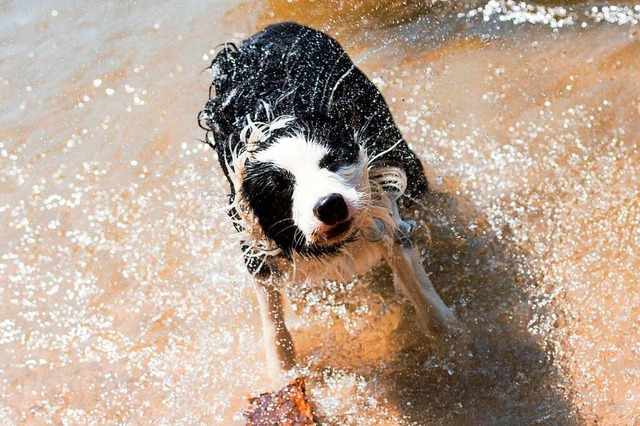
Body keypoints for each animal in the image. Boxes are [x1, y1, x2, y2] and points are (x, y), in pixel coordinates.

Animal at [198, 23, 462, 376]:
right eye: (280, 186)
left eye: (333, 161)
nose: (329, 205)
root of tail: (271, 28)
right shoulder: (251, 234)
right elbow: (272, 319)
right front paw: (283, 373)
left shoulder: (377, 195)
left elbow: (411, 274)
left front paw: (452, 338)